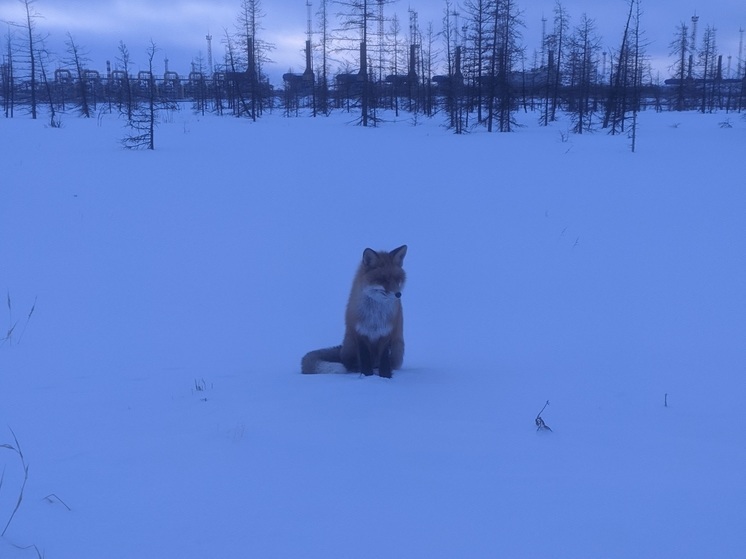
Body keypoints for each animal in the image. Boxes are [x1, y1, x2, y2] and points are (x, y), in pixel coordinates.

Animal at [300, 246, 406, 380]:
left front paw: (385, 377)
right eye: (383, 279)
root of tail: (342, 349)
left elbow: (384, 361)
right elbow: (365, 358)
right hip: (351, 345)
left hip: (398, 348)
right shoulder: (360, 333)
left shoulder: (387, 334)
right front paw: (367, 376)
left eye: (398, 279)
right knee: (349, 364)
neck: (375, 317)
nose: (398, 294)